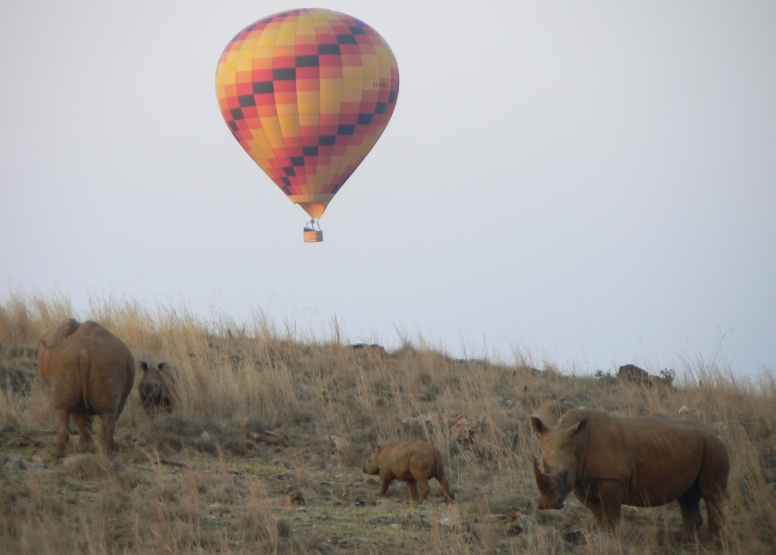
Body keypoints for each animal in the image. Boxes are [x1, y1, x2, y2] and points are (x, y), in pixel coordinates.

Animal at [36, 320, 134, 458]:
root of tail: (85, 353)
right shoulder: (122, 398)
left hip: (65, 362)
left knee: (63, 408)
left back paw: (59, 453)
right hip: (106, 363)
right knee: (107, 413)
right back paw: (105, 453)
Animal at [532, 410, 732, 536]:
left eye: (566, 473)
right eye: (540, 468)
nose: (548, 505)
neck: (577, 441)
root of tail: (713, 433)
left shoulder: (612, 479)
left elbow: (611, 515)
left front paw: (611, 538)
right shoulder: (581, 481)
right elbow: (599, 514)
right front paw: (604, 536)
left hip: (714, 448)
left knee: (712, 495)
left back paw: (712, 541)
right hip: (693, 446)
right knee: (687, 497)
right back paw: (687, 541)